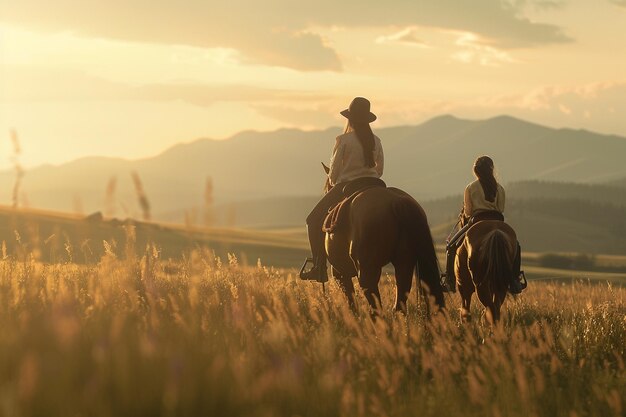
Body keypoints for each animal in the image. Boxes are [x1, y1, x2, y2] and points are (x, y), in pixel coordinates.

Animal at [316, 166, 444, 312]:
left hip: (367, 269)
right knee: (400, 300)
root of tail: (396, 201)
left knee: (375, 304)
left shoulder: (340, 274)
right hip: (404, 261)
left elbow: (352, 303)